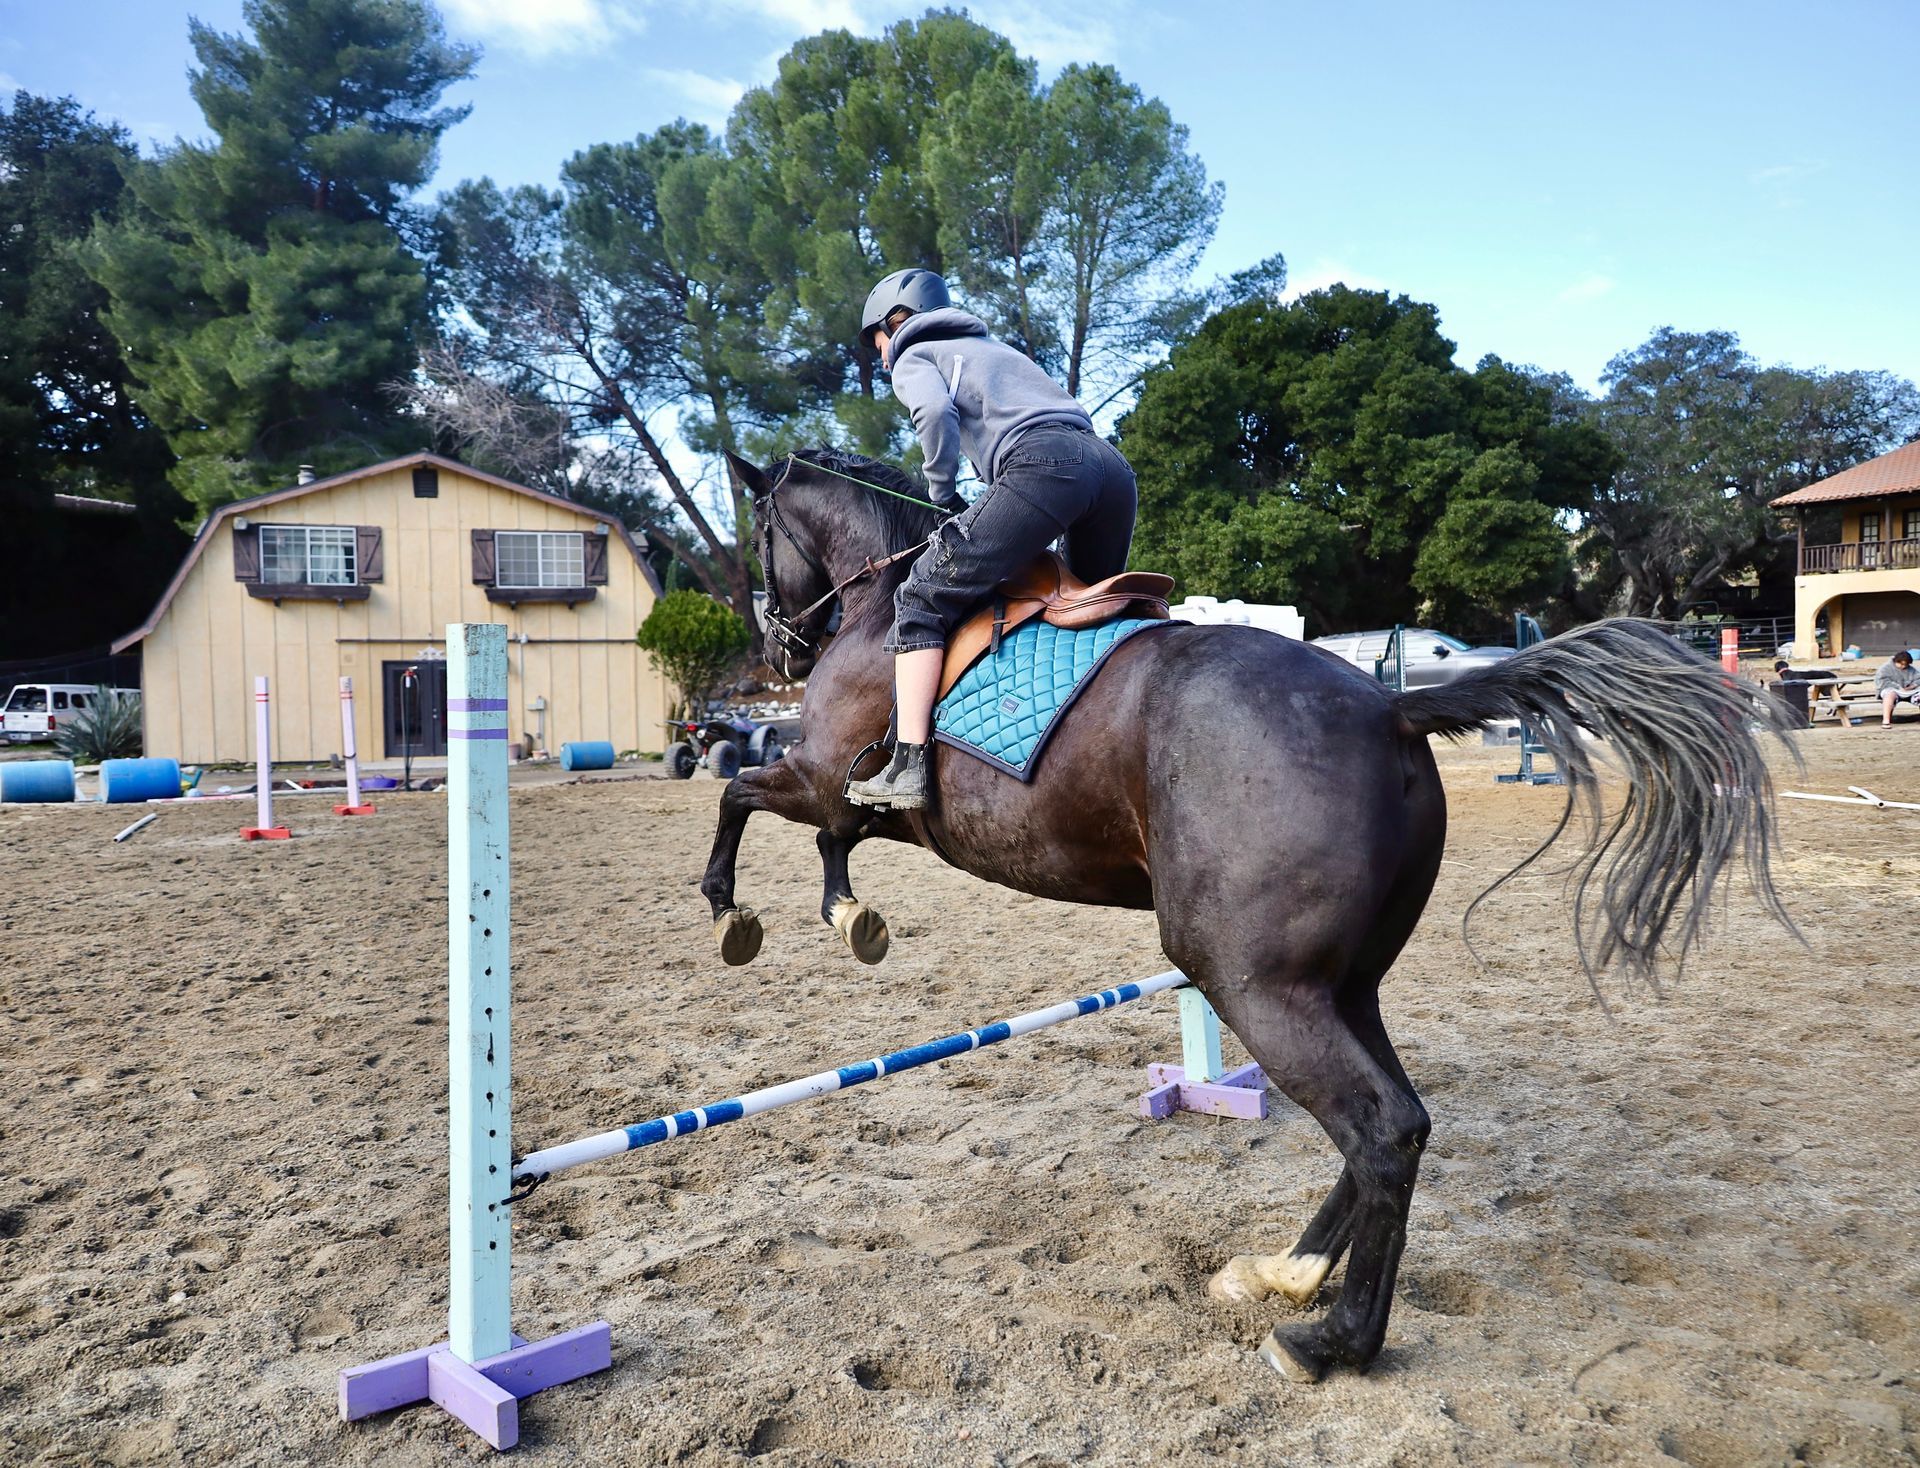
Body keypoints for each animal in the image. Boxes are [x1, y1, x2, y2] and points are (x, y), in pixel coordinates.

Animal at [700, 445, 1793, 1382]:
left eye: (758, 531)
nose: (773, 647)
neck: (885, 605)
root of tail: (1390, 706)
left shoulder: (822, 780)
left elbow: (742, 795)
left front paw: (735, 911)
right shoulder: (851, 804)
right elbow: (820, 836)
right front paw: (848, 911)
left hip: (1252, 981)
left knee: (1380, 1128)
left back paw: (1329, 1339)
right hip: (1338, 982)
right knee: (1400, 1121)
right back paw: (1285, 1272)